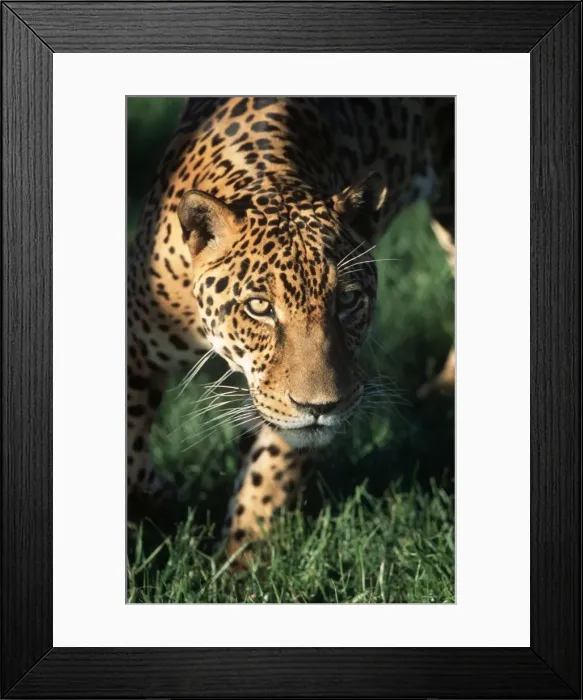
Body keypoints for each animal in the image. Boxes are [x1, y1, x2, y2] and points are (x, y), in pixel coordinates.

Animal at [127, 97, 454, 562]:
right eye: (259, 308)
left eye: (347, 301)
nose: (321, 406)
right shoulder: (135, 337)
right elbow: (129, 449)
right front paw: (155, 501)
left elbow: (271, 468)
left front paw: (241, 561)